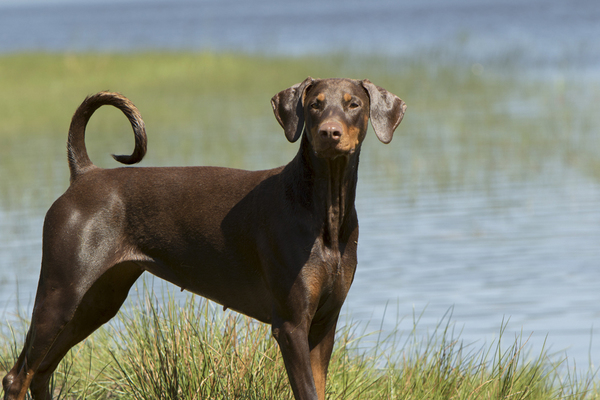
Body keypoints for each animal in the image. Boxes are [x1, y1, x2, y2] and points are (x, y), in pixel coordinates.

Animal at [2, 78, 406, 400]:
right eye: (314, 104)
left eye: (354, 104)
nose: (329, 133)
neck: (324, 211)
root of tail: (85, 174)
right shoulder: (291, 326)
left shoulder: (324, 325)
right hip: (60, 293)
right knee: (17, 376)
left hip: (97, 301)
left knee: (41, 372)